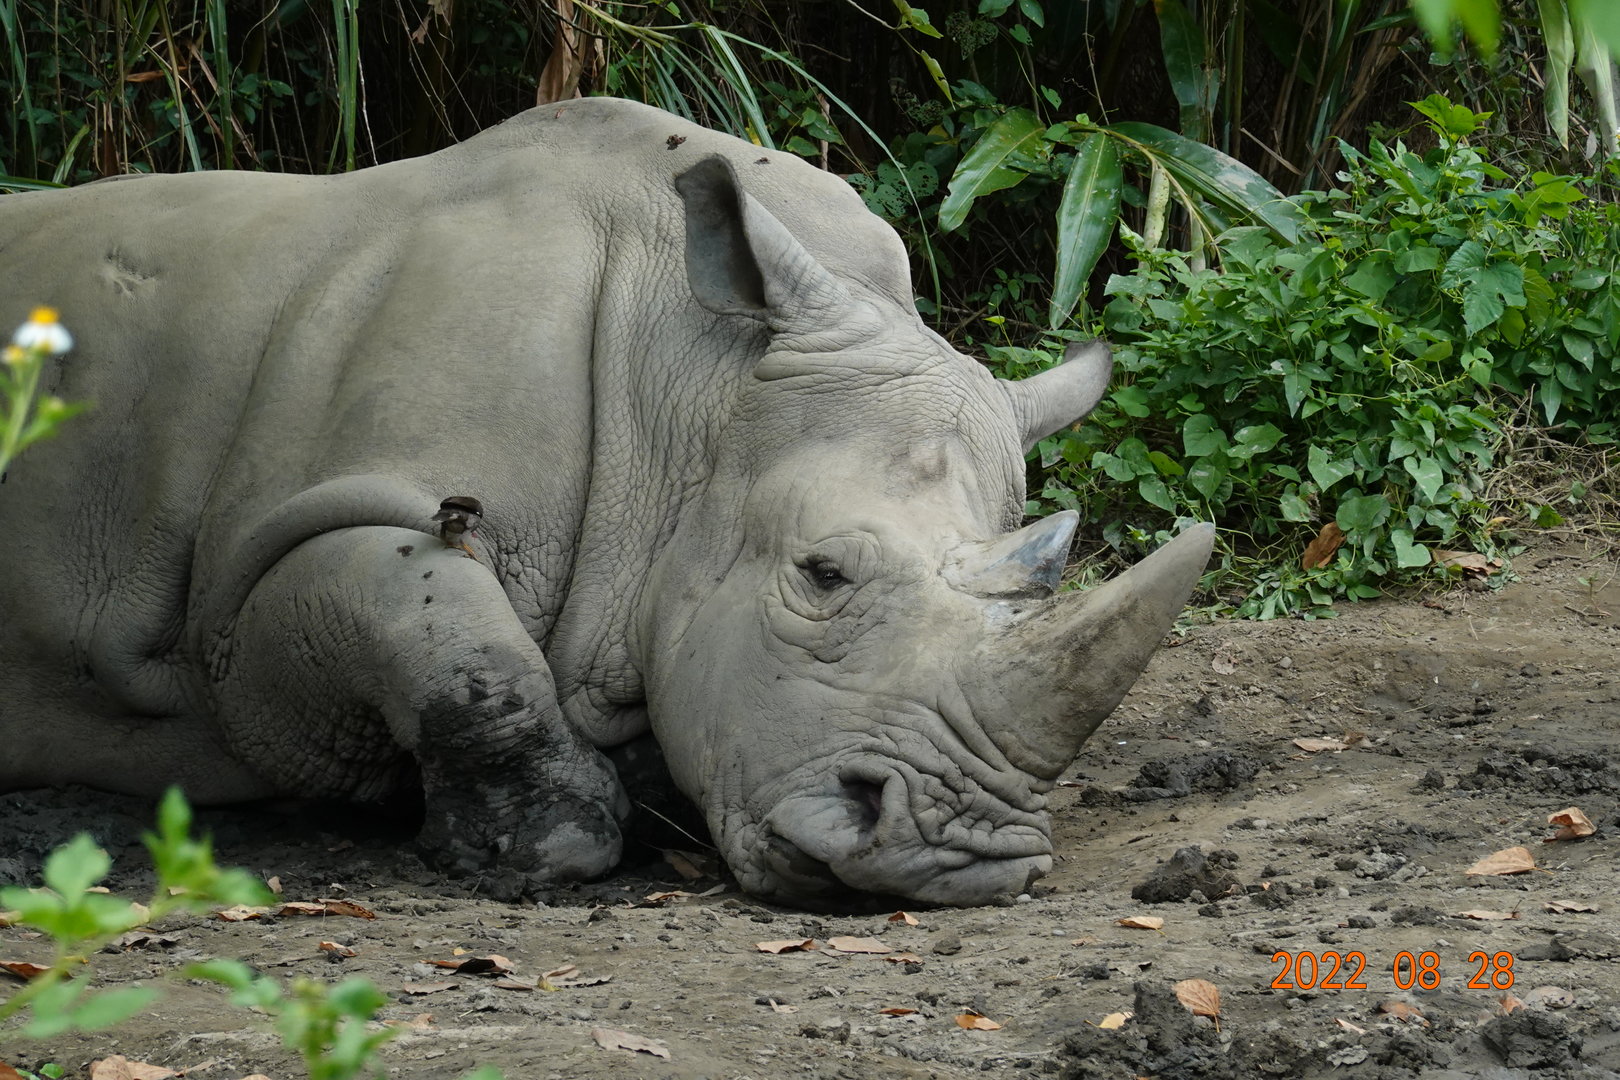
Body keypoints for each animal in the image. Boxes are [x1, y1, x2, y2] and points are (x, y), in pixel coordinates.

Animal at [0, 97, 1212, 907]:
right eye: (821, 575)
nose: (966, 857)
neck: (694, 384)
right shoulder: (263, 572)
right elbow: (437, 626)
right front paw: (536, 846)